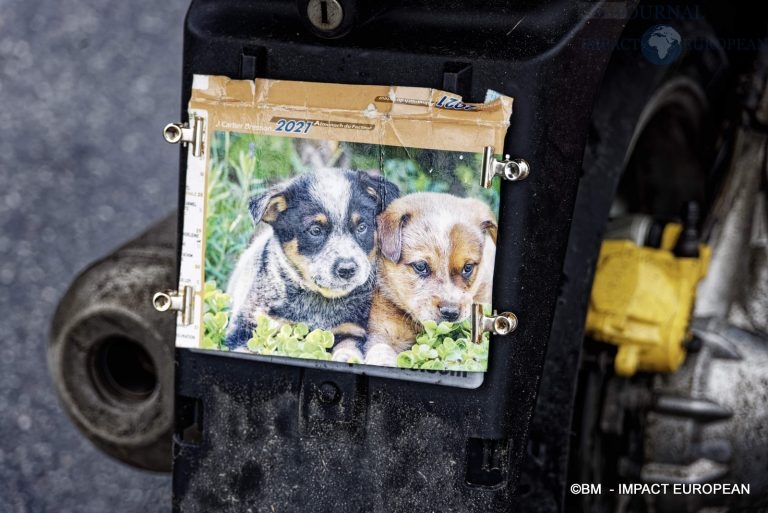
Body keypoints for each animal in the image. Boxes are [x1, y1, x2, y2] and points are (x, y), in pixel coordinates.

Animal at [224, 168, 400, 360]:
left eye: (362, 227)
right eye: (315, 231)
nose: (347, 269)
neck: (318, 304)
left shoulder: (351, 330)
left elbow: (348, 347)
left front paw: (346, 357)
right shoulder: (247, 328)